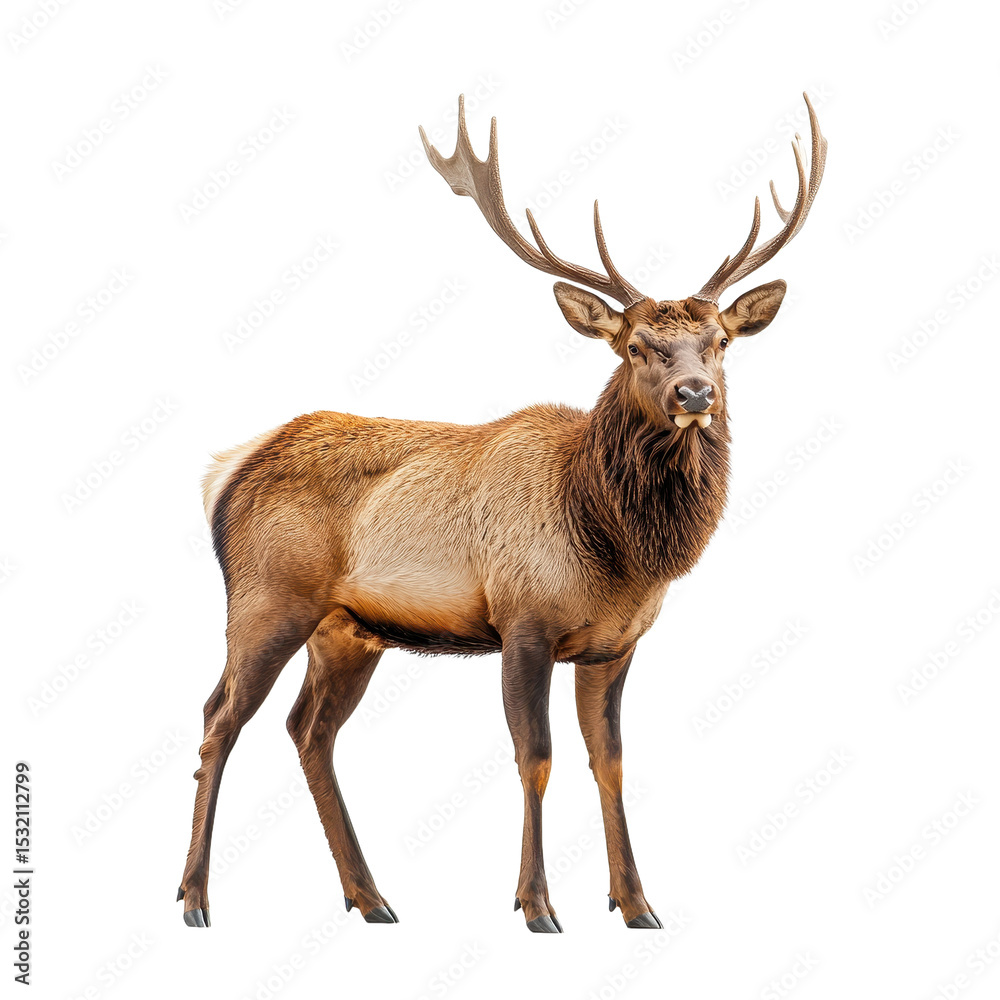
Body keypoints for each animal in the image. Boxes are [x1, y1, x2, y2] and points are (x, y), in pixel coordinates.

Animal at [178, 93, 826, 932]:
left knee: (307, 730)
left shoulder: (614, 645)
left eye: (720, 340)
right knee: (219, 717)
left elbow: (610, 762)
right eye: (636, 345)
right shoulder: (524, 619)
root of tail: (228, 469)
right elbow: (536, 756)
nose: (696, 393)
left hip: (346, 630)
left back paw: (371, 897)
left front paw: (636, 903)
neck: (617, 548)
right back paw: (196, 898)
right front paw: (536, 904)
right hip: (266, 597)